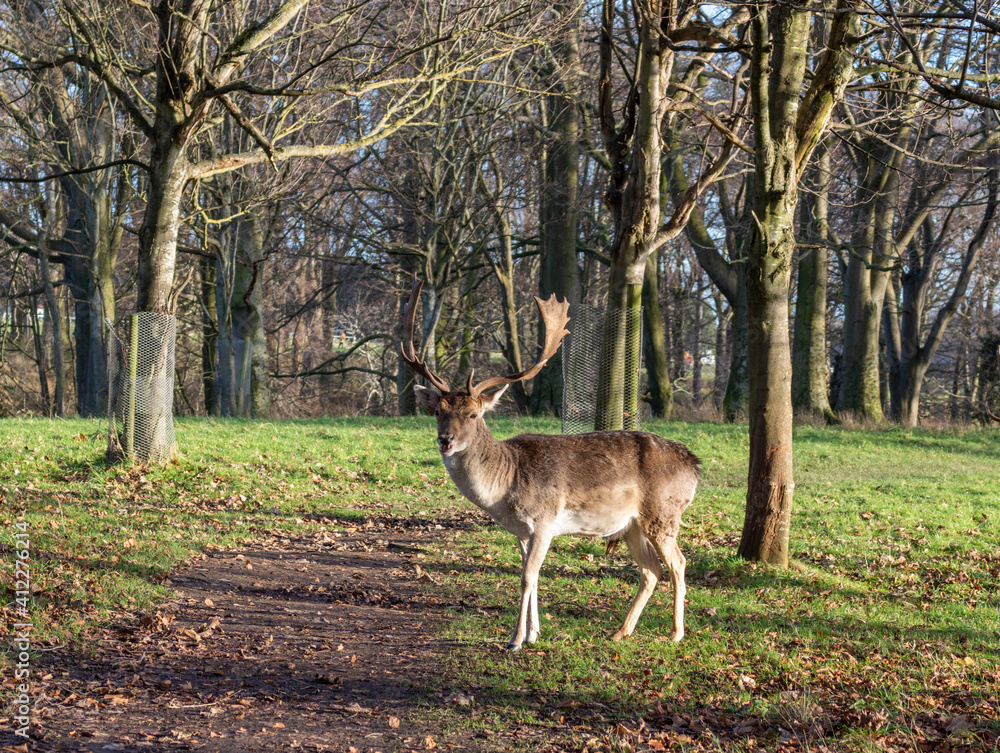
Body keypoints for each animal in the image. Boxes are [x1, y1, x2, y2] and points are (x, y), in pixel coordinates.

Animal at [400, 276, 701, 651]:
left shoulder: (544, 521)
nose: (446, 441)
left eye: (473, 414)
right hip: (631, 525)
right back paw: (621, 630)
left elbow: (528, 577)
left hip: (663, 513)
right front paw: (534, 633)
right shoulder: (522, 531)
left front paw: (515, 640)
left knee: (679, 562)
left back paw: (675, 633)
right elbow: (533, 574)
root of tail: (695, 466)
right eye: (438, 412)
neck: (505, 488)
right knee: (651, 570)